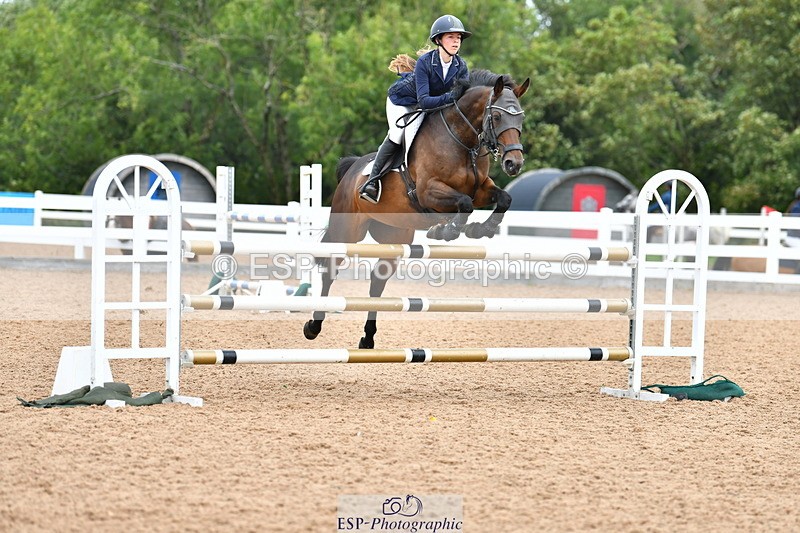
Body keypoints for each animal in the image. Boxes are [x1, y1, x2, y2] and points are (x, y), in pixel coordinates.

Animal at [304, 69, 530, 348]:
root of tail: (352, 168)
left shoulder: (480, 190)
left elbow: (503, 198)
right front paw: (445, 231)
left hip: (393, 236)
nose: (514, 163)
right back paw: (313, 326)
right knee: (331, 270)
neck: (462, 142)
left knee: (377, 282)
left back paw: (367, 339)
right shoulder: (428, 192)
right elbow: (464, 204)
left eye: (521, 117)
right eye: (497, 116)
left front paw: (481, 229)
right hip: (348, 231)